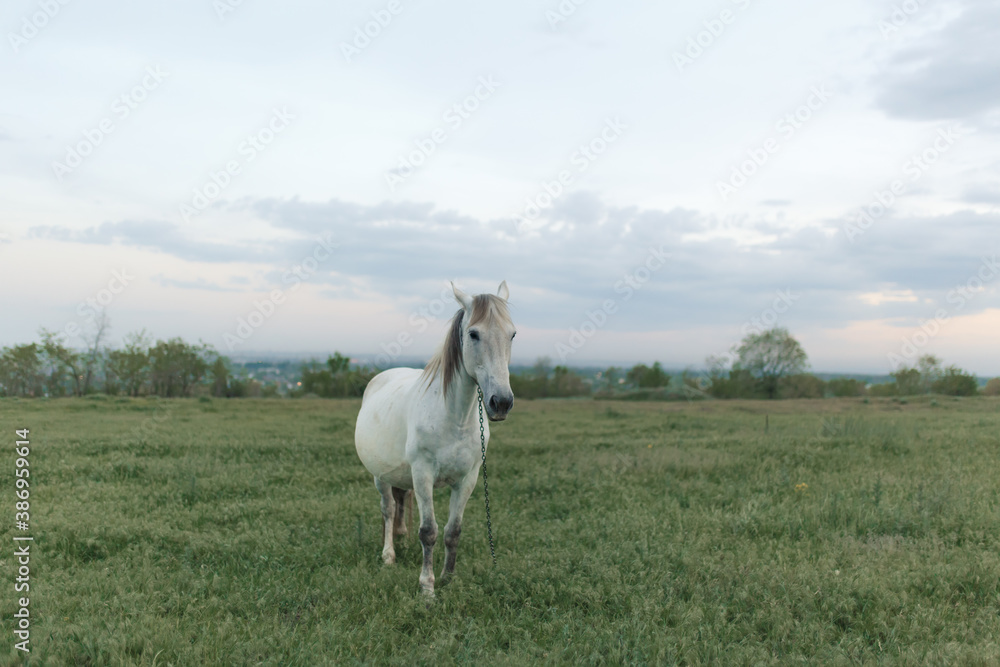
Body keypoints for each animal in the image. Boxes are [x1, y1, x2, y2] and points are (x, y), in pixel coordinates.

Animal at [354, 280, 516, 596]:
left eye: (512, 334)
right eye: (473, 334)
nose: (501, 402)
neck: (454, 418)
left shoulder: (468, 479)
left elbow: (453, 531)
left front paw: (447, 580)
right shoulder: (423, 474)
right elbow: (429, 531)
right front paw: (427, 589)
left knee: (400, 501)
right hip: (379, 475)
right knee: (388, 508)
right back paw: (389, 554)